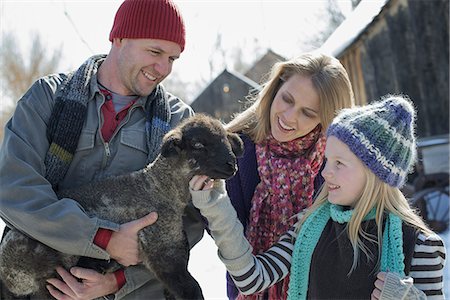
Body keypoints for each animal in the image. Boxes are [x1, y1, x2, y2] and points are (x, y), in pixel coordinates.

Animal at [0, 113, 243, 298]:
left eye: (226, 140)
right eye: (198, 145)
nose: (232, 165)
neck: (160, 188)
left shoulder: (177, 251)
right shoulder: (163, 253)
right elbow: (191, 289)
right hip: (42, 271)